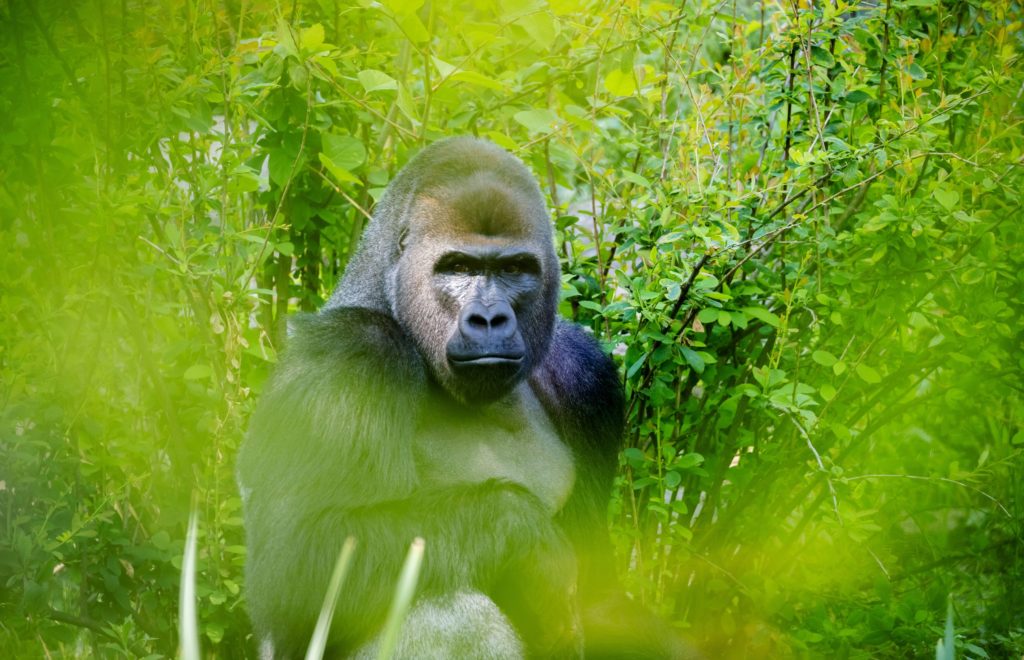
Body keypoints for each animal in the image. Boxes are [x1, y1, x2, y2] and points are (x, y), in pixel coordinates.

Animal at [237, 137, 689, 658]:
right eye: (458, 267)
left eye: (514, 268)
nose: (489, 320)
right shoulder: (350, 354)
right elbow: (296, 561)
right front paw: (527, 537)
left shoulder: (586, 374)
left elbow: (600, 594)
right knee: (445, 605)